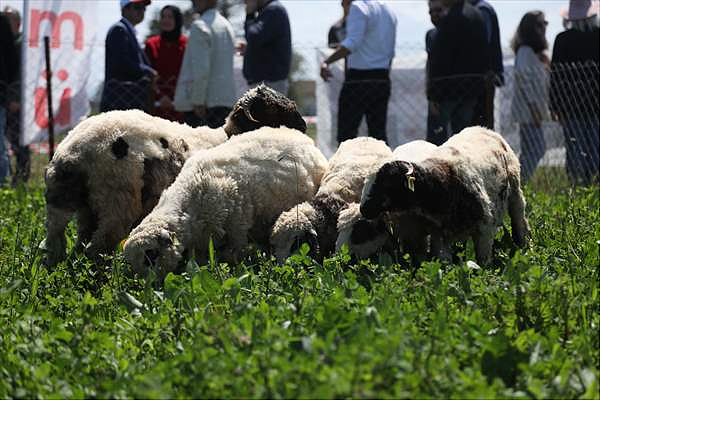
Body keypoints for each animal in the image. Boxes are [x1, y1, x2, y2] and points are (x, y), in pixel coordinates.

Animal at [41, 85, 308, 266]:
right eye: (276, 110)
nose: (304, 126)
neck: (225, 136)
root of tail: (71, 153)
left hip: (76, 208)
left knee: (59, 246)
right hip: (116, 203)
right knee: (96, 248)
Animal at [123, 126, 328, 278]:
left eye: (151, 255)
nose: (149, 286)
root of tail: (303, 138)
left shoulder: (236, 230)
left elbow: (233, 258)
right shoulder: (202, 243)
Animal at [358, 126, 528, 264]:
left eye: (387, 183)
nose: (363, 209)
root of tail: (483, 128)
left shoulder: (485, 228)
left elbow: (483, 263)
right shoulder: (439, 236)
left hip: (515, 192)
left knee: (519, 220)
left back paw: (525, 247)